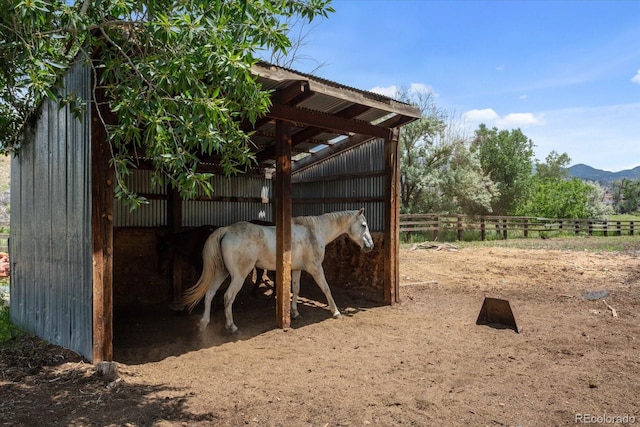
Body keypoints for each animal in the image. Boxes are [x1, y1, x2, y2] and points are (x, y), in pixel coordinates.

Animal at [182, 209, 372, 332]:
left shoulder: (296, 269)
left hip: (222, 272)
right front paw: (336, 312)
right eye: (363, 225)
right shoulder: (316, 268)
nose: (370, 246)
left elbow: (296, 290)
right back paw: (231, 326)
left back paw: (204, 323)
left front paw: (295, 313)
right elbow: (326, 289)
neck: (313, 230)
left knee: (209, 293)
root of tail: (226, 230)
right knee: (228, 297)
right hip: (239, 275)